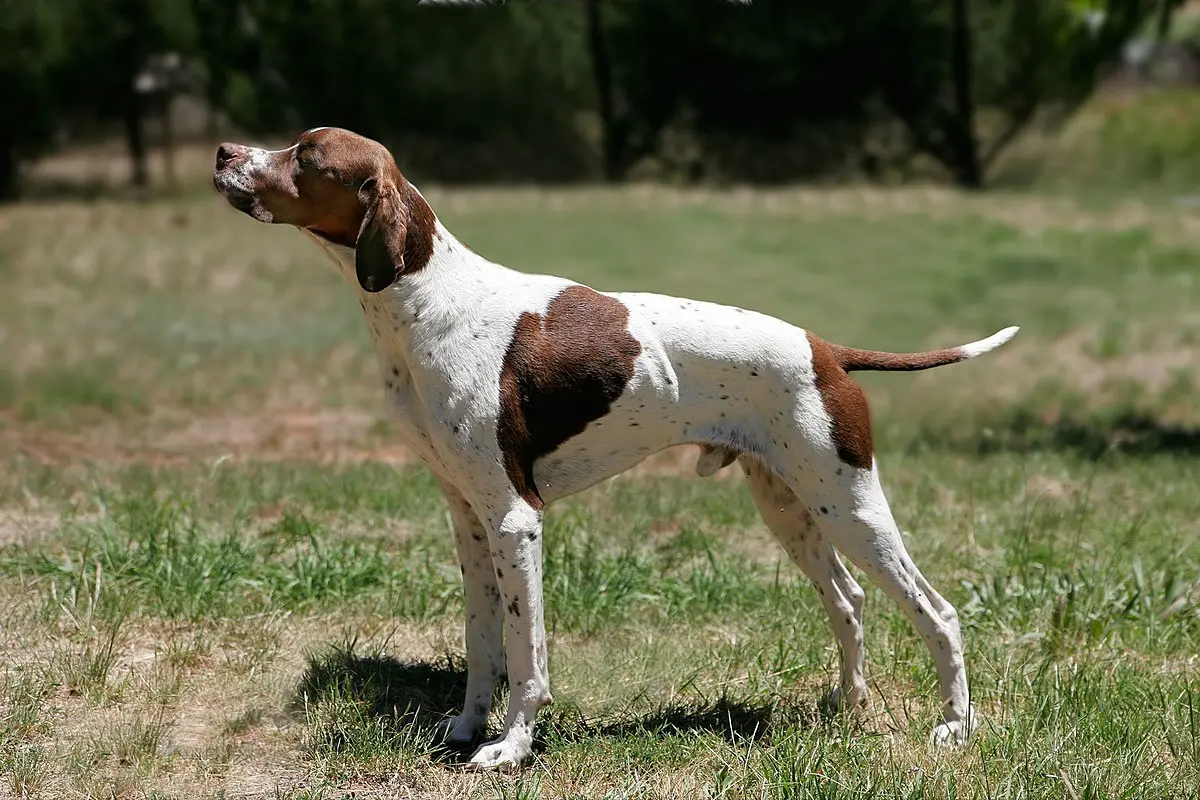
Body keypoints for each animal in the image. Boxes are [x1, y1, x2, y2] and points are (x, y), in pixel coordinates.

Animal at [211, 126, 1017, 767]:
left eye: (306, 154)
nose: (222, 151)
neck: (430, 303)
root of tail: (827, 350)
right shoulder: (468, 519)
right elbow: (482, 644)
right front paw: (468, 727)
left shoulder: (516, 518)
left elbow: (526, 654)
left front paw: (511, 747)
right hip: (793, 507)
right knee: (848, 602)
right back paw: (847, 703)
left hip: (851, 506)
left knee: (938, 612)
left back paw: (955, 726)